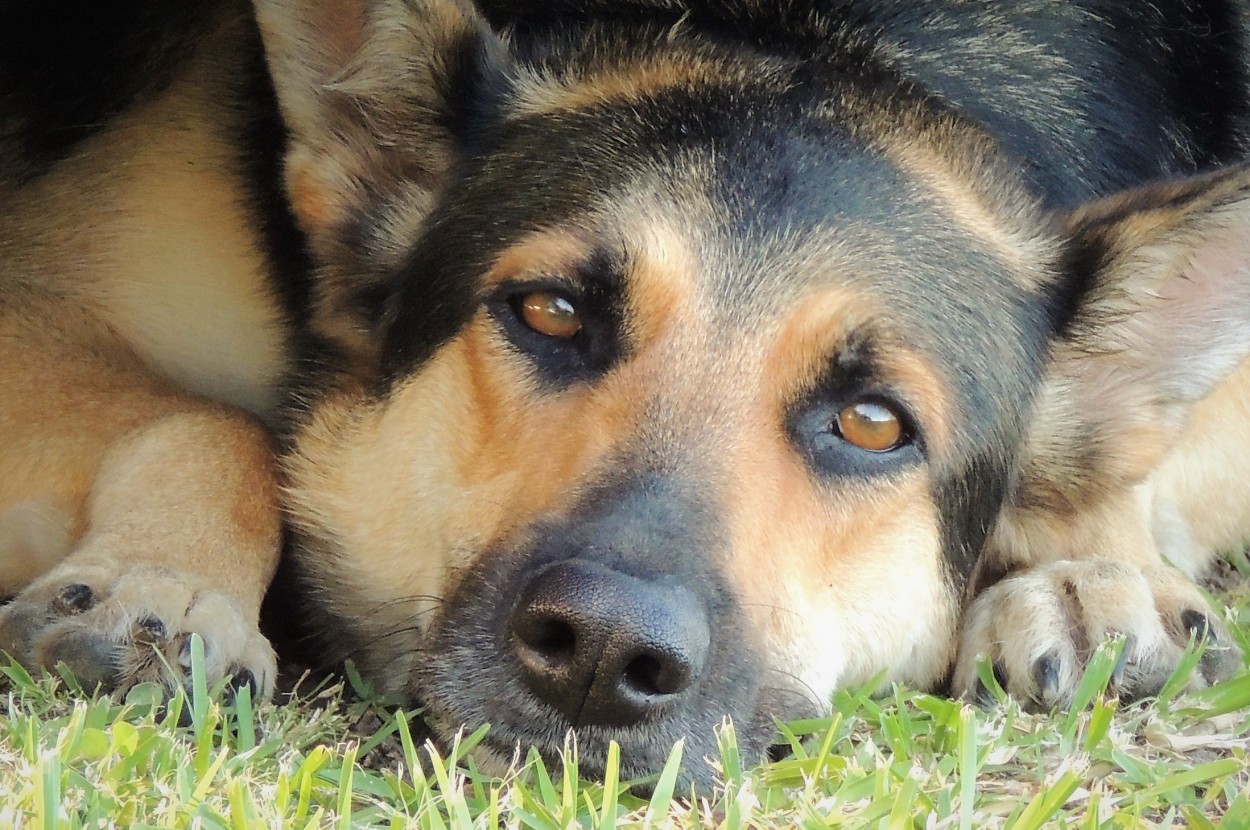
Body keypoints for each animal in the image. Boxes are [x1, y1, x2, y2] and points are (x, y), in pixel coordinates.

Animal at [2, 0, 1250, 790]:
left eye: (870, 423)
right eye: (551, 310)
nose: (601, 648)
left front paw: (1092, 568)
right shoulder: (40, 301)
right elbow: (215, 420)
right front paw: (163, 579)